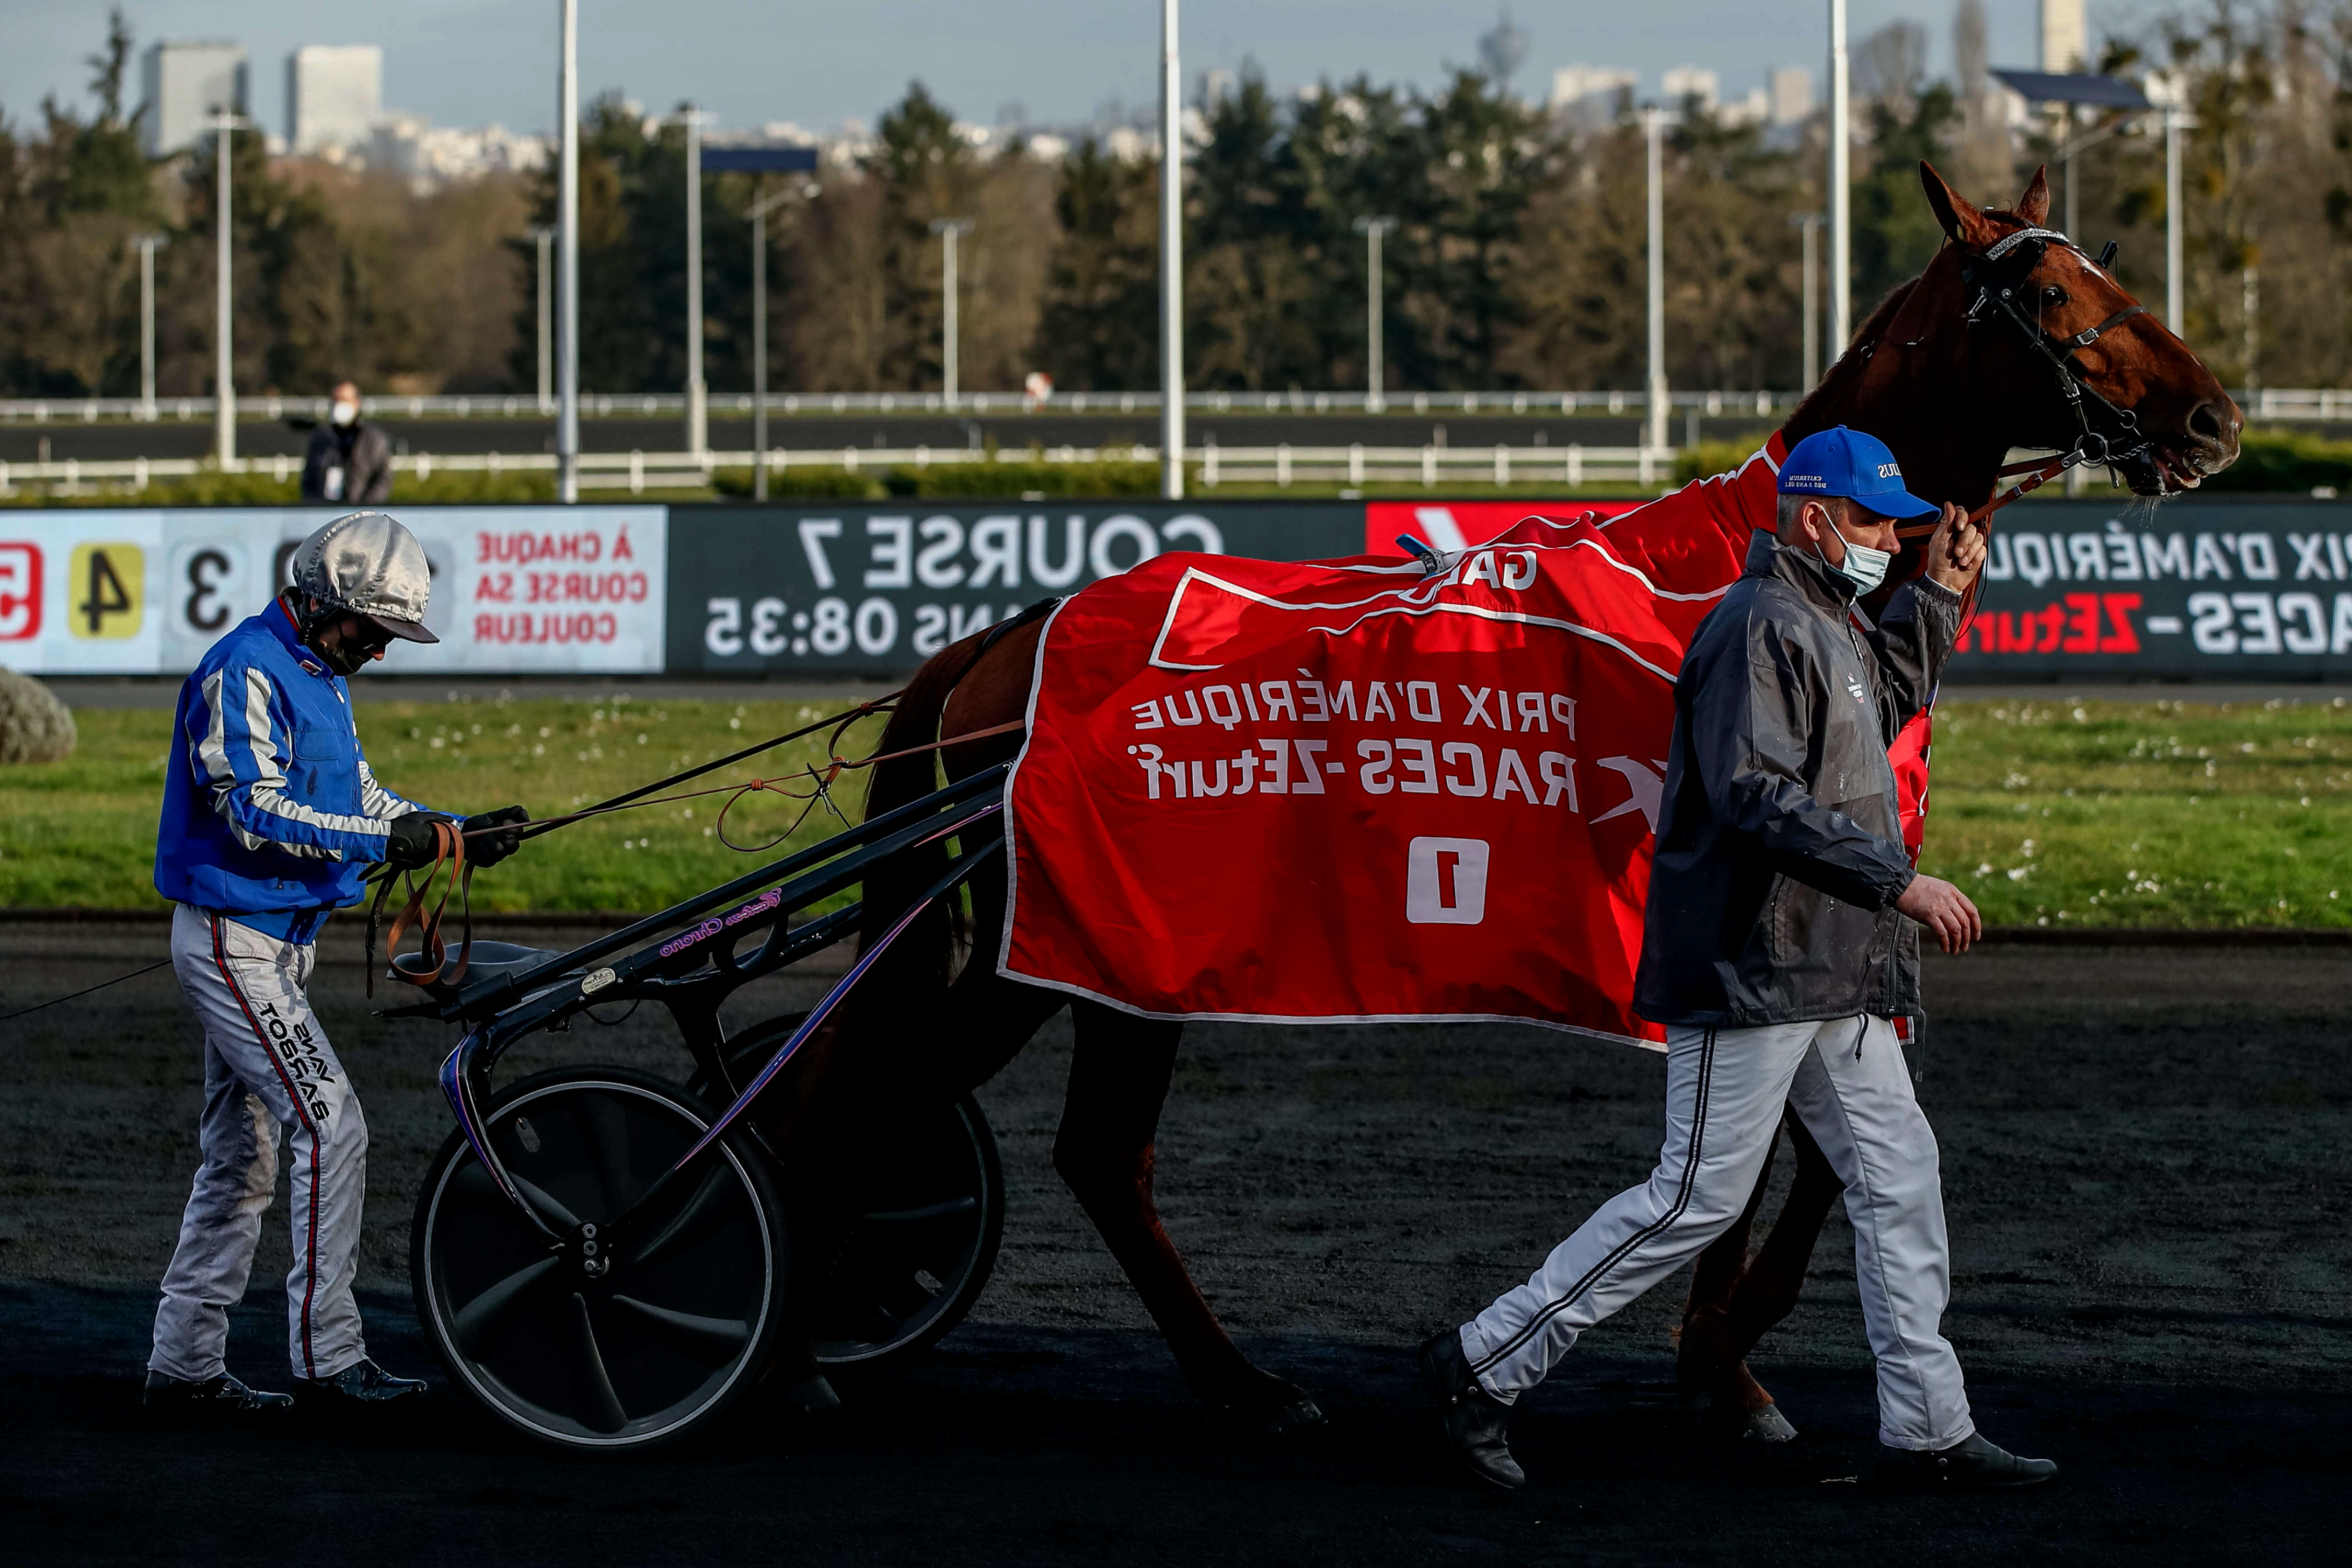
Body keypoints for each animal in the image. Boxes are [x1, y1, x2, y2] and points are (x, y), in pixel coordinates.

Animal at [767, 169, 2239, 1438]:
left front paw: (1723, 1358)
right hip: (1051, 931)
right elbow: (1779, 1150)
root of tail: (1004, 639)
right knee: (871, 1088)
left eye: (2106, 262)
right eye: (2046, 291)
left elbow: (1813, 1146)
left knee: (1075, 1147)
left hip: (1111, 944)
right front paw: (1724, 1363)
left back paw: (1226, 1382)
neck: (1767, 571)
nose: (2213, 420)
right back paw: (789, 1352)